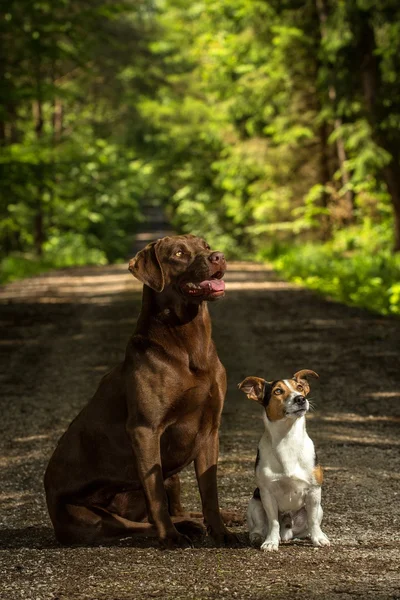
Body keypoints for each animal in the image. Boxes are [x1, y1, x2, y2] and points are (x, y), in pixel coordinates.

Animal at [44, 233, 238, 548]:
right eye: (179, 253)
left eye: (206, 246)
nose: (218, 257)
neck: (189, 343)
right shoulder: (145, 430)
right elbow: (155, 493)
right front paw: (172, 537)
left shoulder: (210, 430)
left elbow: (210, 492)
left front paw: (222, 532)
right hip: (90, 517)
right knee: (139, 523)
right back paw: (183, 528)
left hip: (174, 478)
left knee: (175, 508)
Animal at [239, 370, 330, 552]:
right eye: (278, 391)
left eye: (300, 387)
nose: (300, 399)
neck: (288, 439)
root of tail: (287, 533)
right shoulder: (267, 493)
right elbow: (273, 522)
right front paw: (271, 542)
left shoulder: (314, 491)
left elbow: (313, 521)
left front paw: (318, 538)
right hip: (255, 502)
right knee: (258, 527)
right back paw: (258, 537)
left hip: (319, 508)